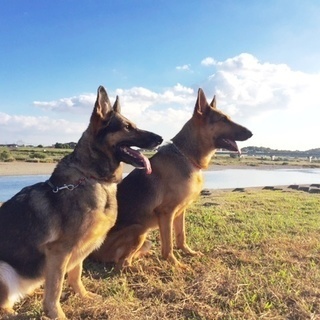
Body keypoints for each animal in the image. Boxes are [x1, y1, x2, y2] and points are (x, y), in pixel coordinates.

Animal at [0, 86, 161, 318]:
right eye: (127, 127)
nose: (161, 138)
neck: (93, 178)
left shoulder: (78, 250)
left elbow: (75, 275)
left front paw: (83, 296)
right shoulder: (60, 252)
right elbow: (56, 287)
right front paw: (56, 314)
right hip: (4, 269)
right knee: (4, 307)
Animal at [90, 89, 252, 268]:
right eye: (223, 119)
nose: (251, 133)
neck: (186, 155)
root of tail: (91, 254)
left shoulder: (180, 211)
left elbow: (181, 236)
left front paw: (189, 253)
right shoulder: (166, 213)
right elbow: (168, 245)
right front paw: (176, 264)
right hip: (139, 230)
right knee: (123, 263)